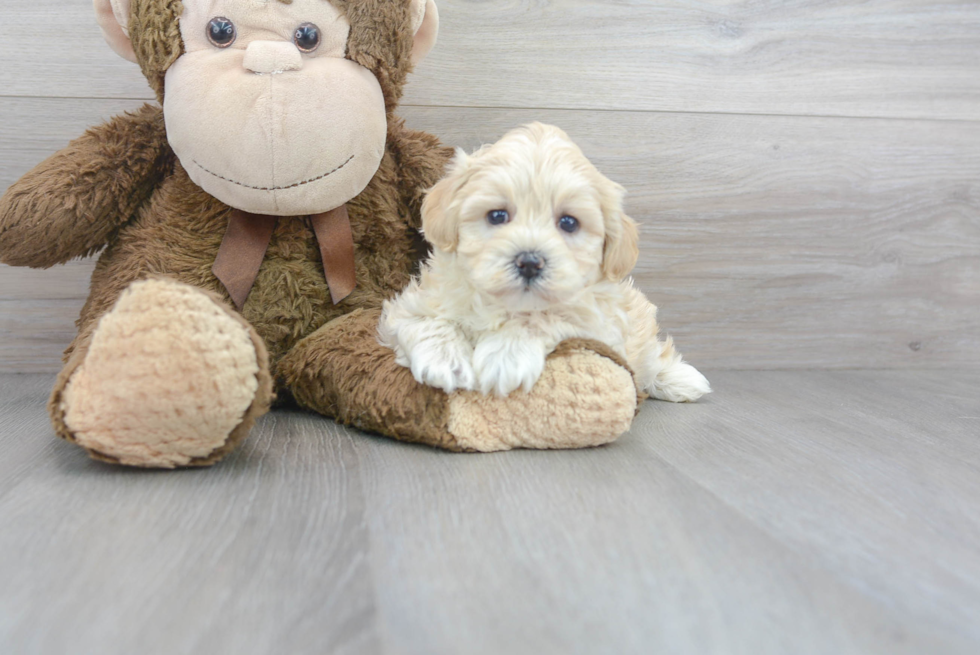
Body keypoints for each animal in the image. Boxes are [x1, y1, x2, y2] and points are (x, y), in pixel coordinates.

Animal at [378, 121, 712, 402]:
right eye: (497, 215)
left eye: (568, 223)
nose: (529, 262)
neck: (505, 305)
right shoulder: (407, 306)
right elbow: (425, 320)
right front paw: (445, 360)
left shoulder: (600, 328)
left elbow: (546, 317)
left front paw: (506, 355)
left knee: (652, 357)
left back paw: (681, 380)